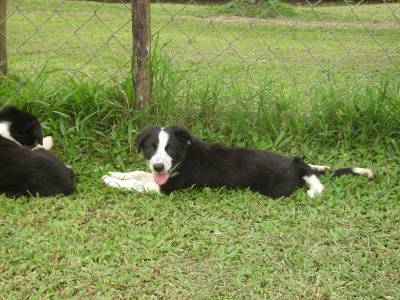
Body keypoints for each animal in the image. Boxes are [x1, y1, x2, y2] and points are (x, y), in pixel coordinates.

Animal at [101, 125, 374, 198]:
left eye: (170, 149)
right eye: (151, 148)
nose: (158, 166)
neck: (185, 157)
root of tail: (292, 167)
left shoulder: (166, 188)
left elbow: (138, 184)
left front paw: (111, 181)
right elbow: (137, 173)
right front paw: (116, 173)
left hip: (276, 189)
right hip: (294, 161)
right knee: (305, 162)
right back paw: (320, 167)